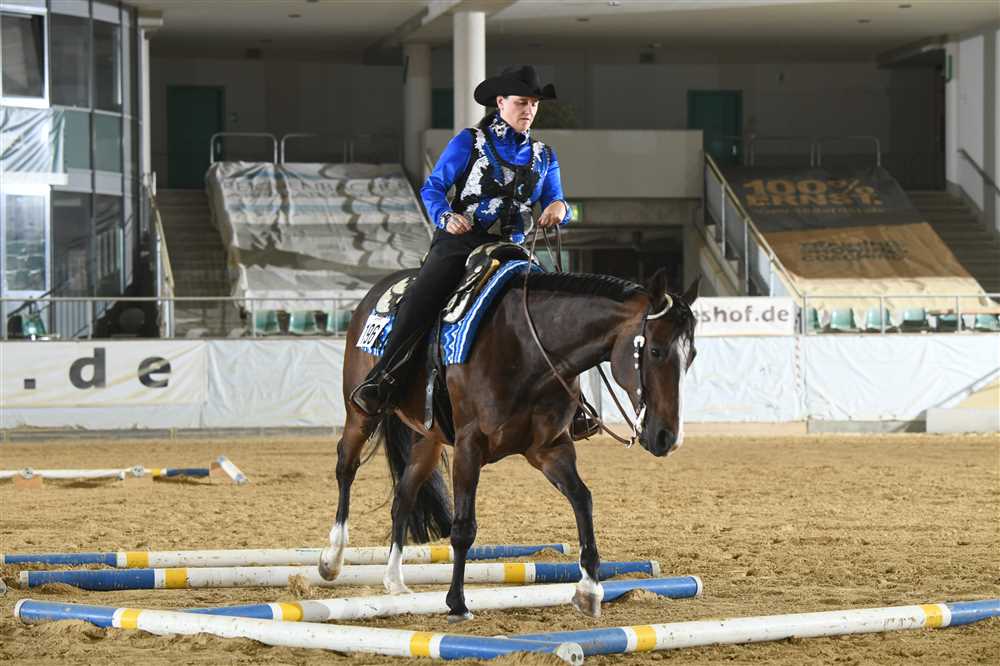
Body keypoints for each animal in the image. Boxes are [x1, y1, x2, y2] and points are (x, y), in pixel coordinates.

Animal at [318, 264, 699, 622]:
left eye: (692, 355)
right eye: (655, 350)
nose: (667, 437)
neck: (529, 349)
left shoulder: (551, 449)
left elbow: (583, 500)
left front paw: (589, 590)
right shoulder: (469, 446)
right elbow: (463, 527)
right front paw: (457, 603)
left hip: (429, 439)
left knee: (404, 495)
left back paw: (395, 580)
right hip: (360, 414)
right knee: (345, 466)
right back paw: (332, 559)